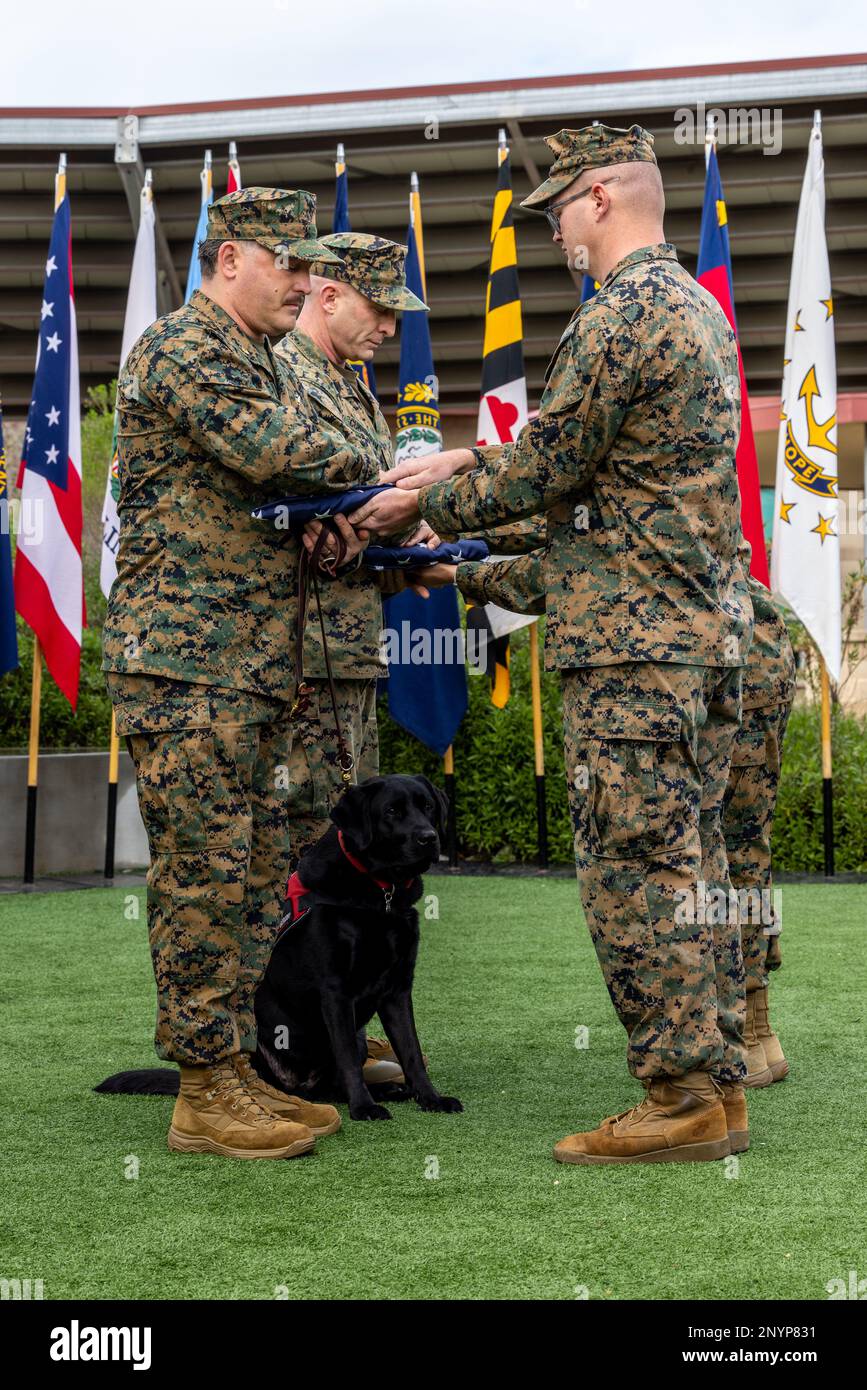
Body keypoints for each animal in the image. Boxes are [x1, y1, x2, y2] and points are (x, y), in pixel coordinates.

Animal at [254, 778, 464, 1123]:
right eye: (391, 811)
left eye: (428, 807)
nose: (428, 837)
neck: (382, 893)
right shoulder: (335, 992)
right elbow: (348, 1058)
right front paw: (363, 1107)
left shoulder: (398, 989)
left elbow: (411, 1050)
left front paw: (431, 1098)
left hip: (360, 1034)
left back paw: (391, 1090)